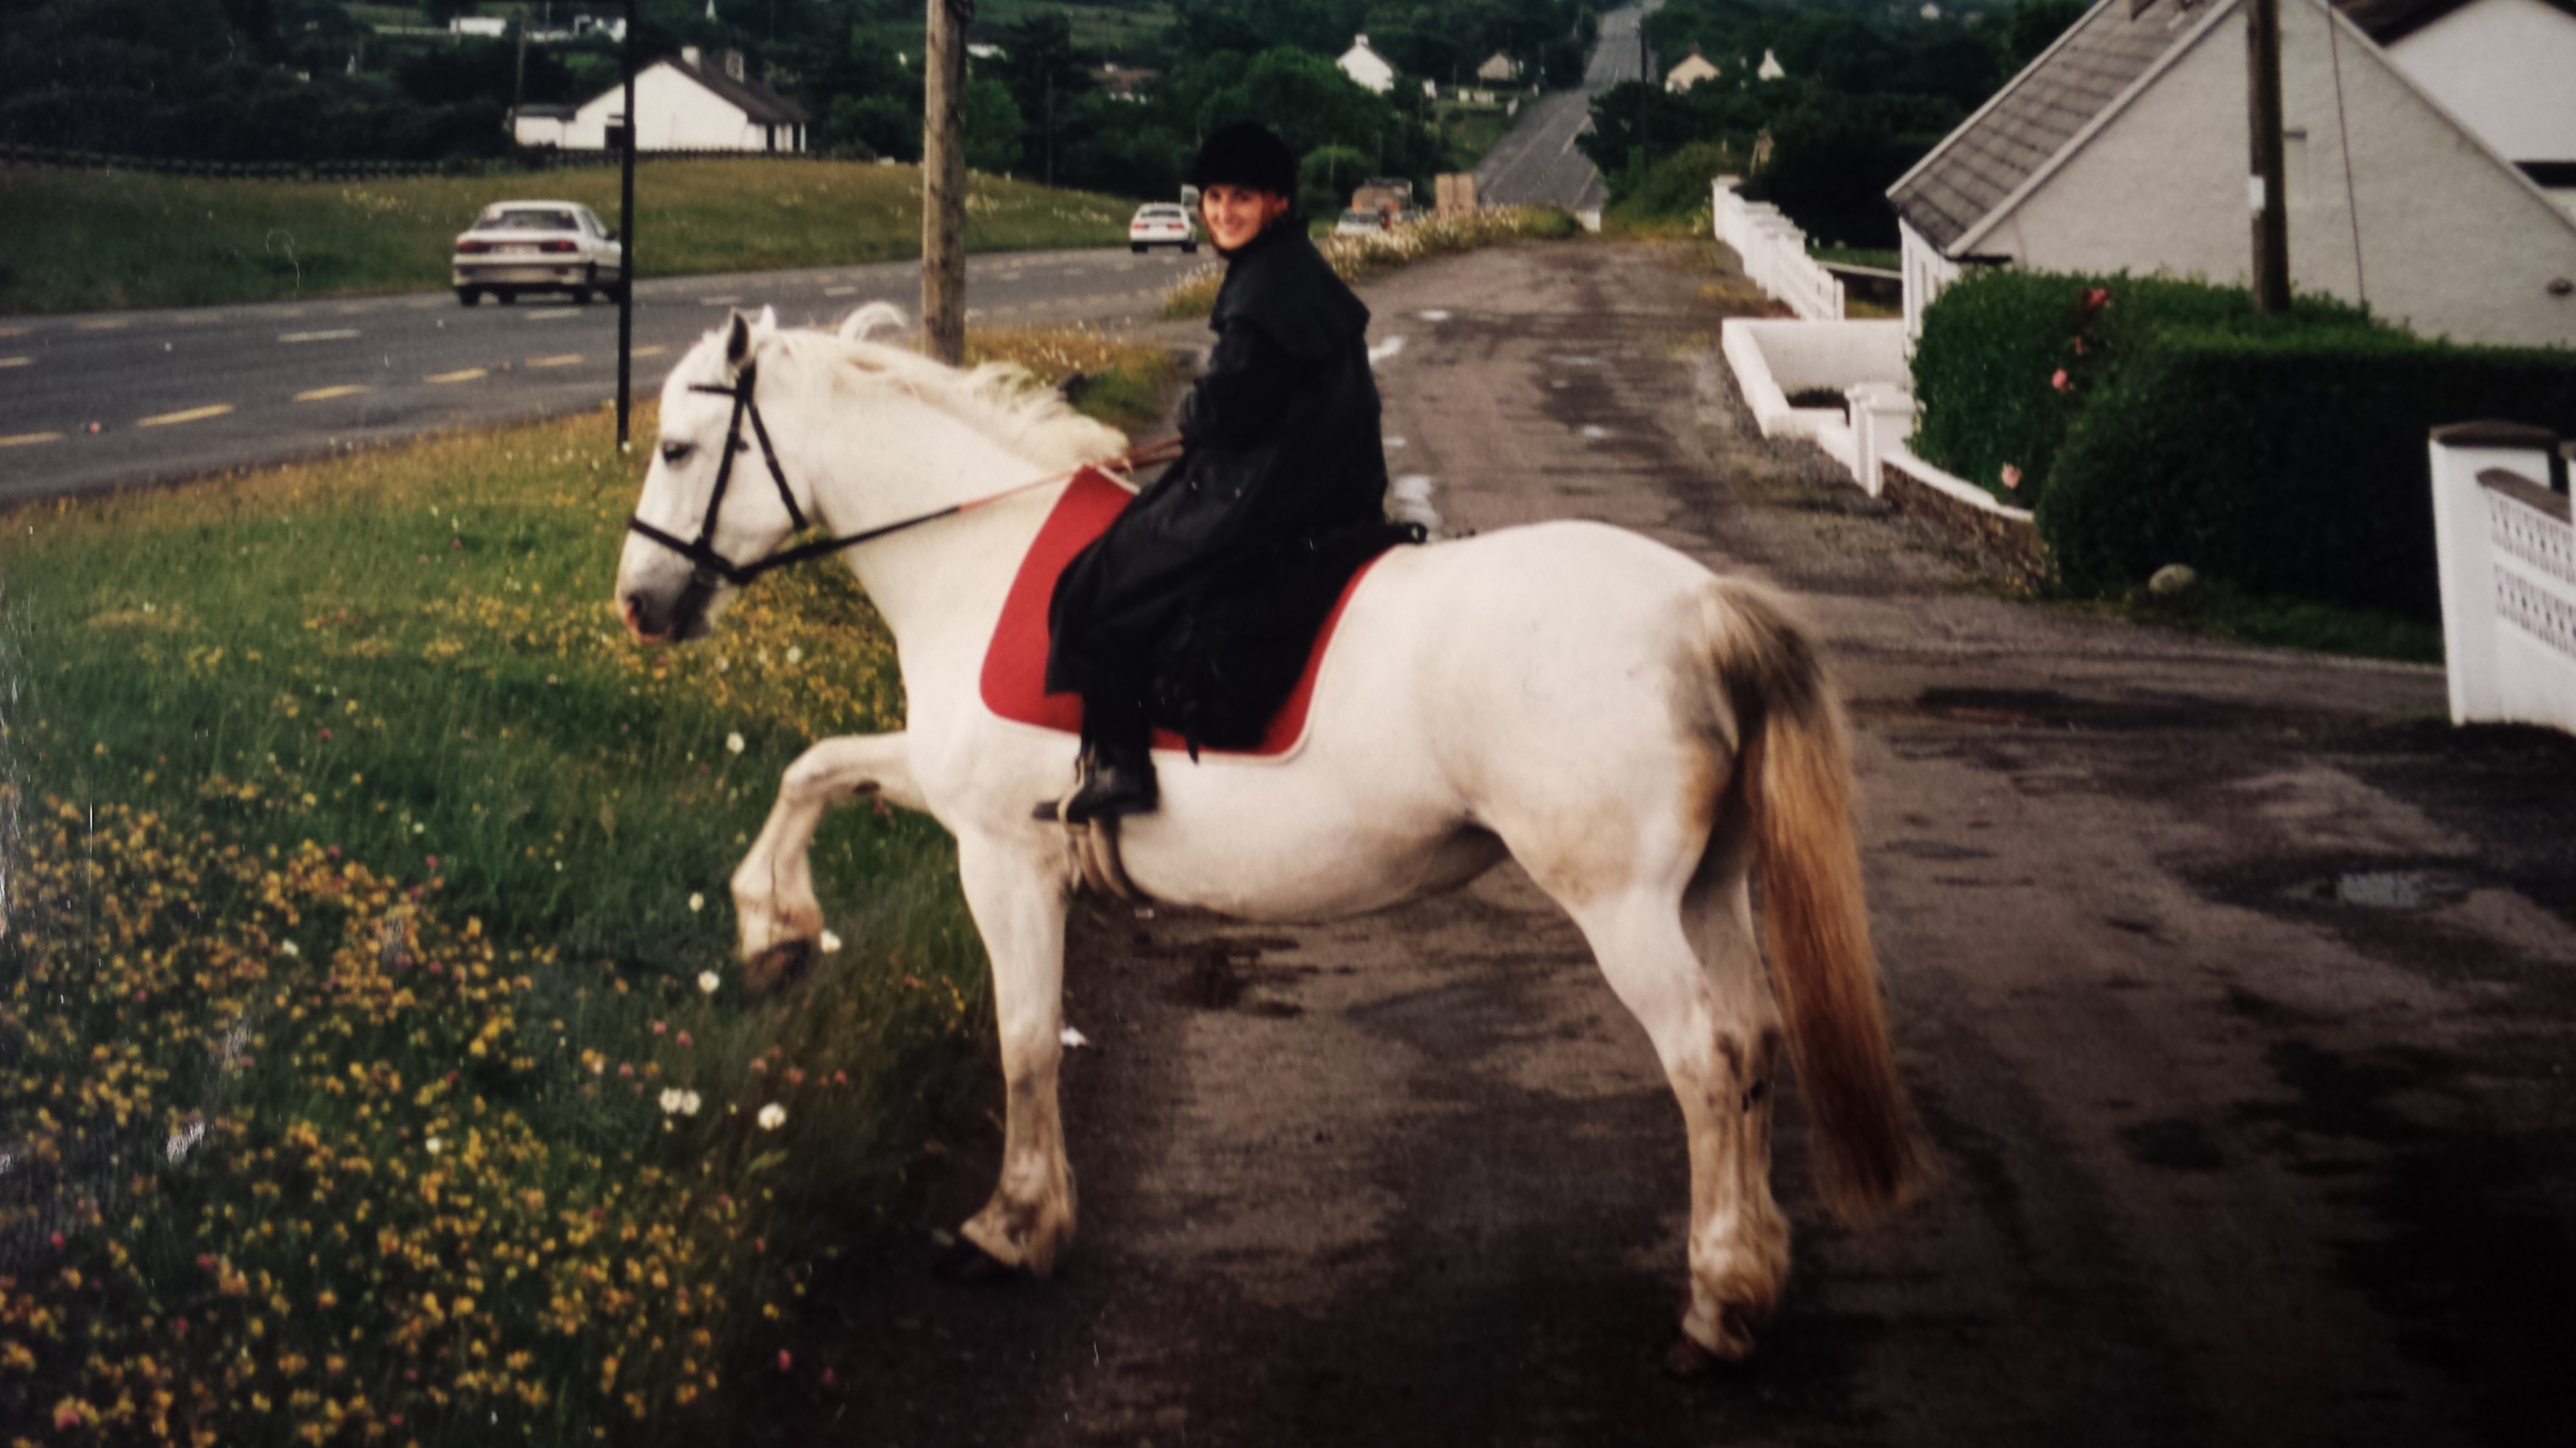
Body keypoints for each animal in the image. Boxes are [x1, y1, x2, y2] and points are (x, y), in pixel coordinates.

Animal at [613, 304, 1926, 1360]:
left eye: (677, 449)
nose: (639, 605)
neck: (974, 555)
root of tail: (1701, 605)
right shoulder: (946, 788)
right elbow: (816, 770)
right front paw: (772, 931)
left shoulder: (1003, 854)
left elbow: (1025, 1040)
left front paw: (1015, 1225)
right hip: (1704, 890)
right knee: (1752, 1045)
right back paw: (1753, 1268)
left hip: (1620, 905)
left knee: (1703, 1060)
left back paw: (1716, 1304)